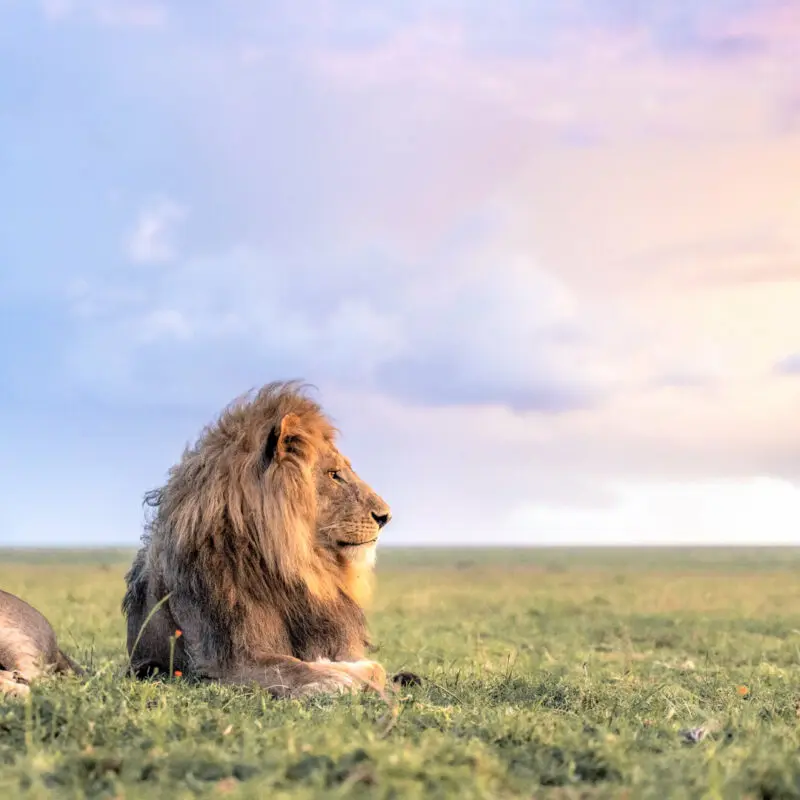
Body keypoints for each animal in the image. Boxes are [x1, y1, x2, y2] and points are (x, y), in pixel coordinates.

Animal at [121, 380, 397, 698]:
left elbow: (375, 668)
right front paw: (333, 678)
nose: (386, 516)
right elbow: (290, 667)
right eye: (334, 475)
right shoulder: (226, 664)